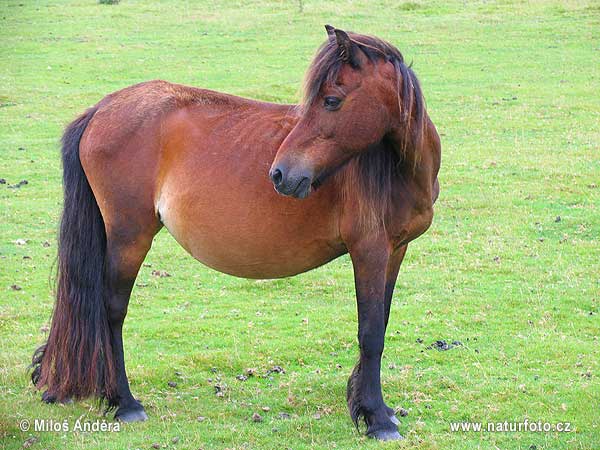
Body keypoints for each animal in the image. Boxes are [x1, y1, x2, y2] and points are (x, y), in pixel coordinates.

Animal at [31, 26, 440, 442]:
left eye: (331, 100)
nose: (280, 174)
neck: (399, 170)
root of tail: (101, 109)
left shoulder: (395, 250)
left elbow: (380, 323)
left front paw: (372, 407)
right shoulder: (369, 250)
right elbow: (370, 334)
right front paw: (376, 418)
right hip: (129, 237)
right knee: (112, 310)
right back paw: (126, 403)